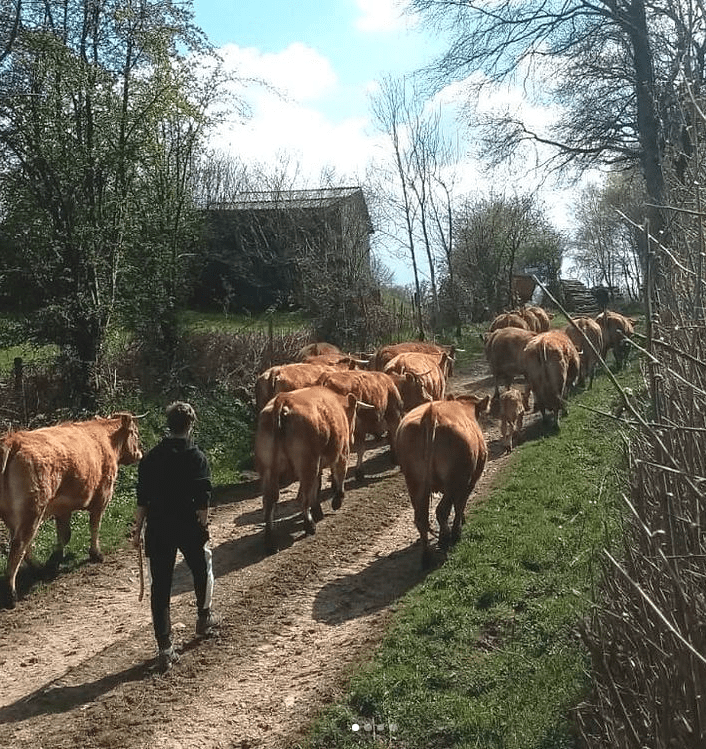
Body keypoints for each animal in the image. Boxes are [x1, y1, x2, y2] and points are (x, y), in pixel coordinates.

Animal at [0, 412, 143, 604]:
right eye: (135, 432)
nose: (140, 454)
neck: (106, 438)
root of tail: (13, 439)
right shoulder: (103, 496)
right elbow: (94, 526)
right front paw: (96, 554)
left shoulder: (63, 508)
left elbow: (64, 534)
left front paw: (55, 560)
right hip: (33, 511)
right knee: (19, 545)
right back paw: (11, 593)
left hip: (15, 515)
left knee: (21, 545)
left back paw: (39, 569)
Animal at [254, 386, 360, 548]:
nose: (353, 438)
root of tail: (284, 400)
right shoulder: (342, 453)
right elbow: (338, 476)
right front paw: (337, 501)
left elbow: (317, 486)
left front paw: (318, 510)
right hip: (307, 465)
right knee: (302, 497)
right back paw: (309, 525)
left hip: (269, 469)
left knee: (269, 501)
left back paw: (270, 540)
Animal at [396, 394, 490, 564]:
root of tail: (431, 414)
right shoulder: (470, 482)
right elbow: (460, 506)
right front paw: (458, 528)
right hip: (455, 481)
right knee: (442, 510)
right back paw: (448, 538)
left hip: (414, 483)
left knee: (421, 518)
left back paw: (426, 556)